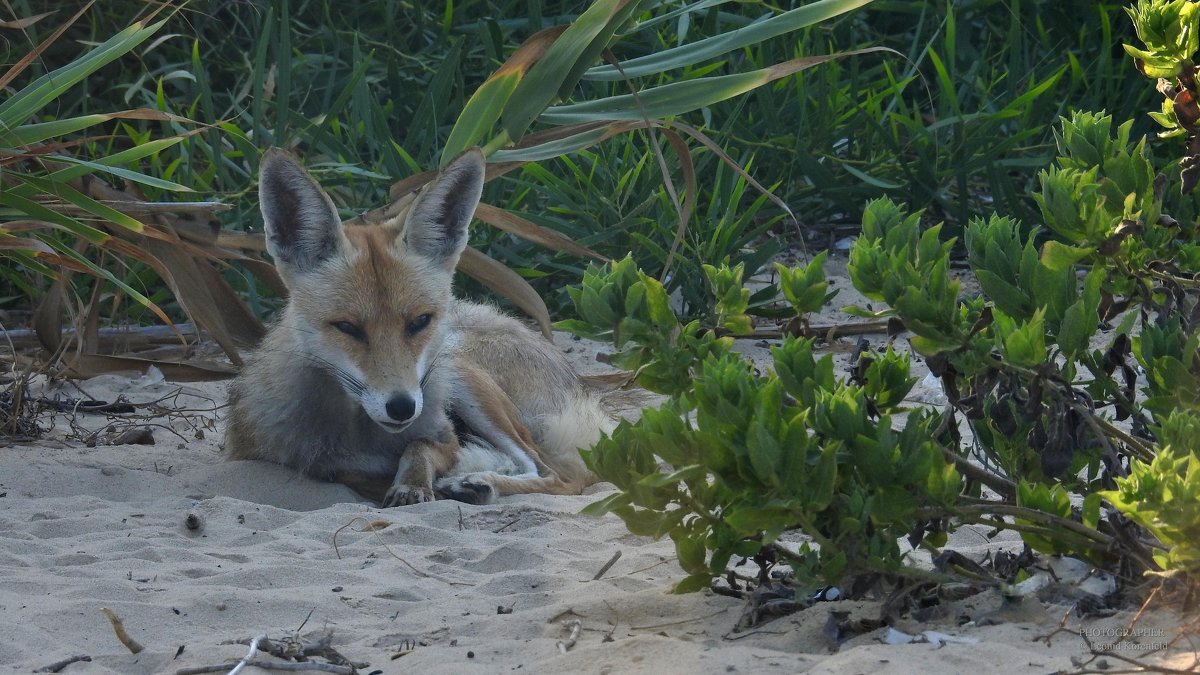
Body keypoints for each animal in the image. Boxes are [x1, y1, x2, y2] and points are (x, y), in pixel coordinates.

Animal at [223, 147, 628, 504]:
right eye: (348, 328)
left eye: (419, 322)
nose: (402, 407)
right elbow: (344, 469)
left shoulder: (442, 435)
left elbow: (421, 448)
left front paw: (414, 482)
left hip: (461, 368)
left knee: (557, 475)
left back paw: (479, 482)